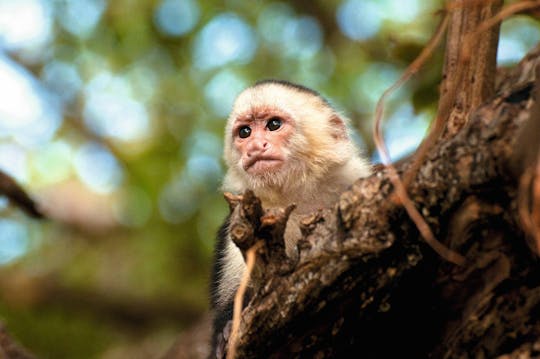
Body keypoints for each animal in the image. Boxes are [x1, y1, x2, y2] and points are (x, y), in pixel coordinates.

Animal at [210, 79, 372, 354]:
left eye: (274, 125)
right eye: (245, 132)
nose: (254, 147)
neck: (299, 198)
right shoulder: (241, 218)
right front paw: (226, 330)